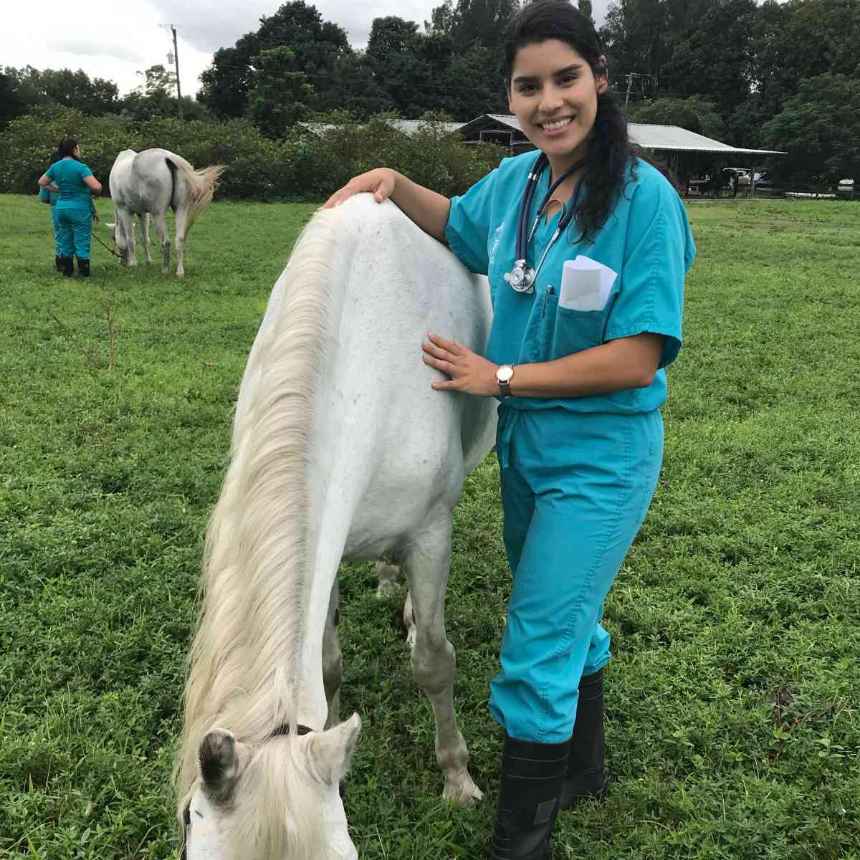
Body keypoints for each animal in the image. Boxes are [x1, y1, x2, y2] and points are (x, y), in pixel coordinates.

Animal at [107, 148, 223, 276]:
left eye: (113, 238)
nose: (121, 262)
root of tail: (168, 157)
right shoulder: (142, 213)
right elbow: (144, 238)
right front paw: (148, 261)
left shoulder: (124, 210)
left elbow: (129, 239)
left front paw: (133, 263)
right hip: (181, 209)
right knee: (179, 239)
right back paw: (179, 272)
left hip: (158, 214)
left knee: (166, 242)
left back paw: (165, 270)